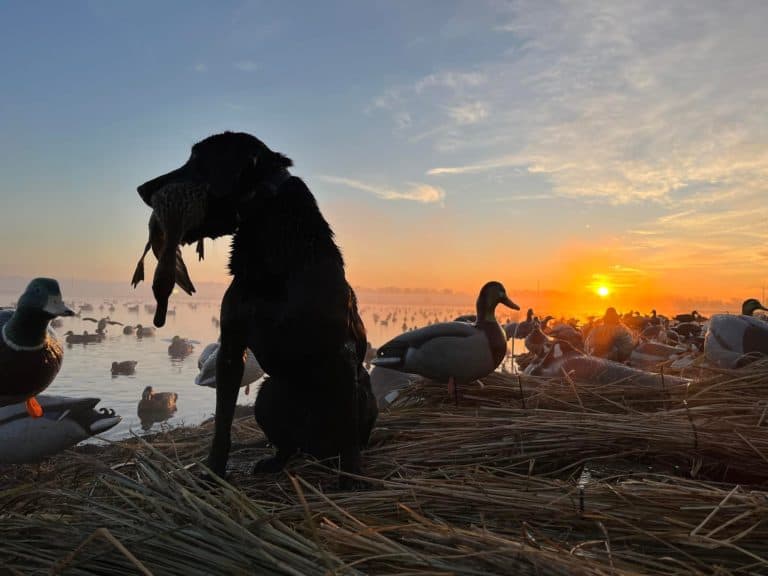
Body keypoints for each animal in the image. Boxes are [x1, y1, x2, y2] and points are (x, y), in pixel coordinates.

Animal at [139, 132, 380, 482]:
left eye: (197, 159)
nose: (143, 189)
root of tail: (313, 448)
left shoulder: (342, 352)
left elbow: (347, 428)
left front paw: (351, 478)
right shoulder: (230, 348)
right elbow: (222, 424)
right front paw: (214, 471)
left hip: (363, 393)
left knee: (348, 434)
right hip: (267, 396)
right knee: (286, 445)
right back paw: (273, 462)